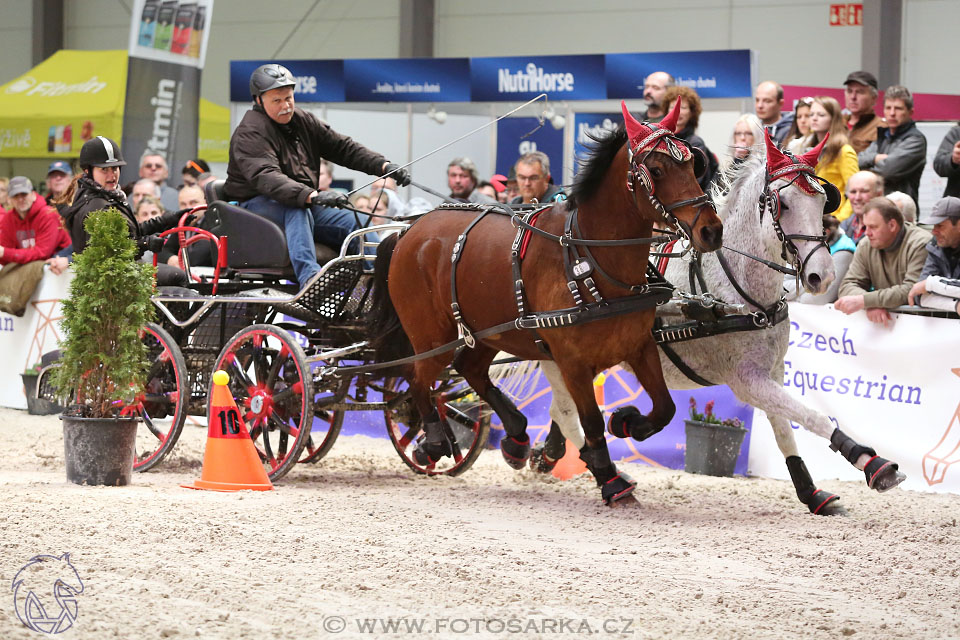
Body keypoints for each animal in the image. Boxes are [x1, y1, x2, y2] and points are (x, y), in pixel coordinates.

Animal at [372, 99, 724, 504]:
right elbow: (590, 420)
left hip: (489, 330)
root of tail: (410, 229)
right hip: (432, 335)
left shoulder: (638, 345)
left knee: (468, 368)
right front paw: (609, 477)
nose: (711, 230)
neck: (592, 256)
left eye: (693, 163)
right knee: (418, 379)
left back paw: (516, 436)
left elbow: (664, 408)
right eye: (656, 169)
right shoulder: (572, 361)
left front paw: (626, 422)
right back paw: (432, 442)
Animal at [540, 135, 908, 516]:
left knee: (562, 410)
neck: (740, 290)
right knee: (566, 410)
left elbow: (784, 430)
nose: (823, 276)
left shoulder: (772, 372)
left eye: (823, 201)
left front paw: (811, 492)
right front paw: (871, 462)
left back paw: (559, 455)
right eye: (783, 205)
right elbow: (812, 417)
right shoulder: (746, 380)